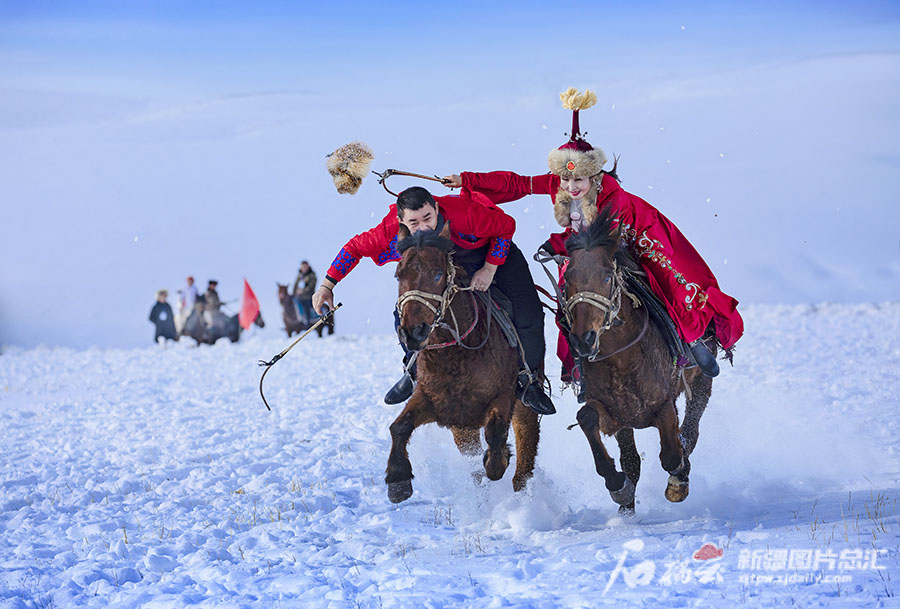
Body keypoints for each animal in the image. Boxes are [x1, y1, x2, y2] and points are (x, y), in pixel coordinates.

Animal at [386, 221, 540, 502]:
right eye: (398, 276)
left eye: (437, 275)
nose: (413, 333)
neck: (456, 357)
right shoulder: (433, 400)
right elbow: (399, 426)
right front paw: (398, 479)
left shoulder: (503, 395)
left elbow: (495, 436)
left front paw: (499, 459)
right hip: (463, 429)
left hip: (524, 407)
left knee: (526, 448)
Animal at [564, 209, 716, 512]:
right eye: (567, 280)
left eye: (606, 277)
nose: (583, 339)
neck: (622, 358)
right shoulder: (613, 411)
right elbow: (587, 418)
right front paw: (618, 487)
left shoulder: (663, 403)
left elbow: (672, 454)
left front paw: (678, 481)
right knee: (632, 457)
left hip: (703, 380)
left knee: (691, 428)